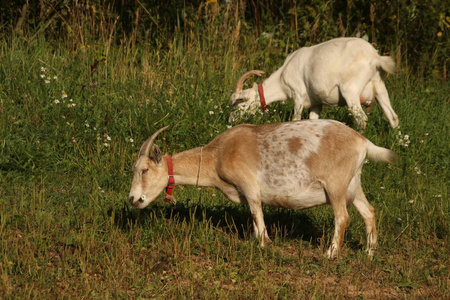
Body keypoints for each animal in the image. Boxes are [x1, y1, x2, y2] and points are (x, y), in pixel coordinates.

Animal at [128, 119, 396, 258]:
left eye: (144, 170)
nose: (133, 199)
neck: (217, 155)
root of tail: (363, 142)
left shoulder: (249, 185)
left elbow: (256, 211)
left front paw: (264, 244)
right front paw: (258, 240)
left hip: (336, 185)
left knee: (343, 217)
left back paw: (330, 255)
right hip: (353, 185)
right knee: (369, 212)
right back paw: (370, 252)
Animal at [230, 37, 400, 129]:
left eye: (241, 103)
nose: (230, 121)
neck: (282, 78)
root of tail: (375, 57)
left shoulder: (298, 95)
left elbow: (295, 119)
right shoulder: (316, 103)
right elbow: (312, 119)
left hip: (350, 91)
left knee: (361, 119)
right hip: (379, 87)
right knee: (393, 117)